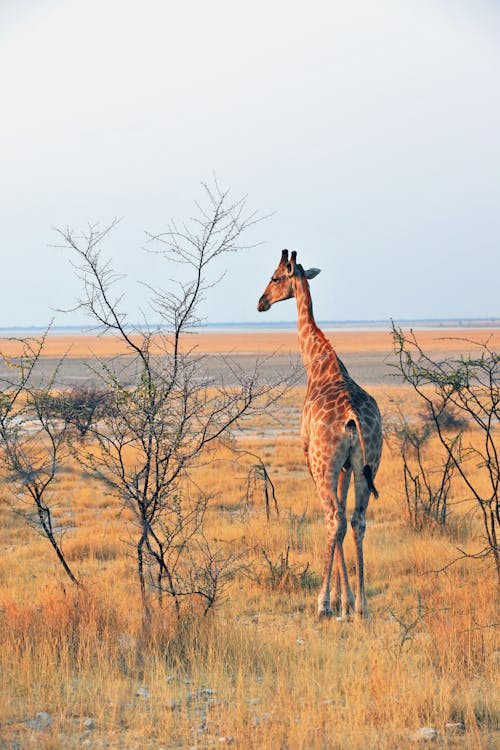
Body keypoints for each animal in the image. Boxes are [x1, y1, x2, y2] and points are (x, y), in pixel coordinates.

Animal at [258, 250, 382, 620]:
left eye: (274, 277)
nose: (261, 303)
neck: (318, 363)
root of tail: (353, 417)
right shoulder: (348, 466)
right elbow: (345, 515)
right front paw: (348, 600)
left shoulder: (310, 456)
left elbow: (333, 519)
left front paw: (338, 601)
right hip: (369, 463)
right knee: (356, 520)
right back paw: (363, 606)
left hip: (323, 464)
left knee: (333, 519)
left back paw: (322, 604)